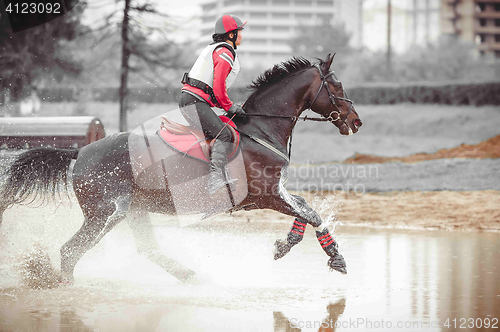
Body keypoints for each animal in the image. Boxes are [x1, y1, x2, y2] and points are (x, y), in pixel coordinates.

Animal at [0, 53, 360, 282]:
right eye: (338, 87)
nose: (356, 122)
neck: (260, 129)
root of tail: (80, 151)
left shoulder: (275, 193)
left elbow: (306, 209)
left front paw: (305, 248)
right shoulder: (265, 196)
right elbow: (310, 213)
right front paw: (320, 254)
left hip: (133, 211)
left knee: (145, 249)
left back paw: (188, 274)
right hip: (103, 214)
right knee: (70, 251)